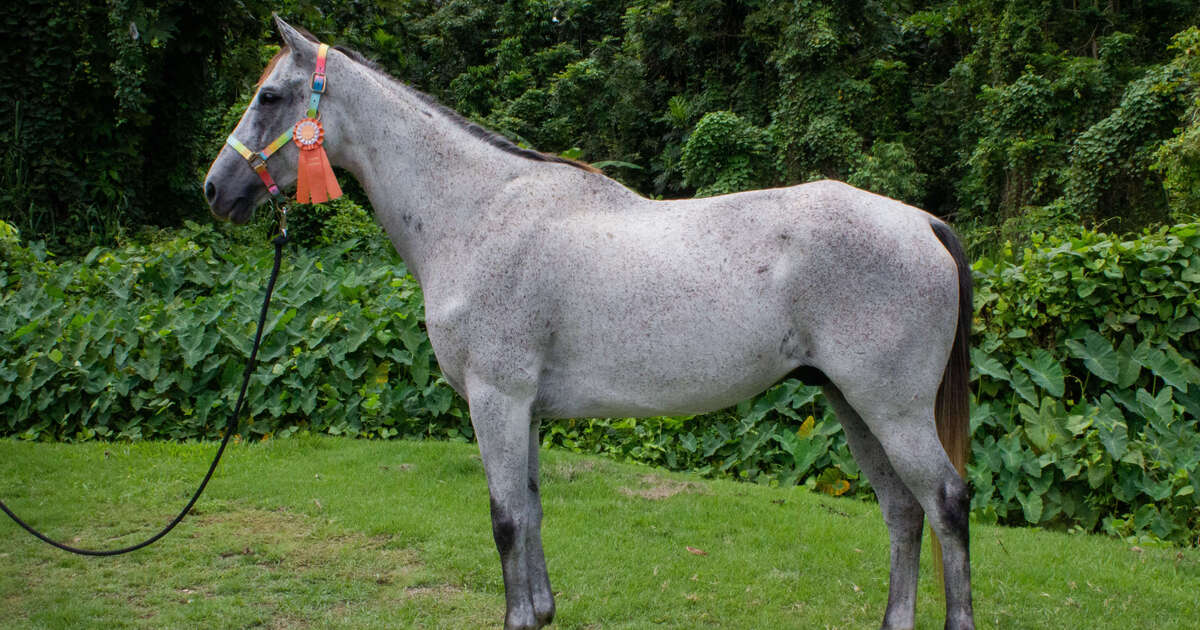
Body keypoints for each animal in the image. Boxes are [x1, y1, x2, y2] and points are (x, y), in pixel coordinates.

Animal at [204, 17, 975, 630]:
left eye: (269, 97)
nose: (215, 189)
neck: (479, 214)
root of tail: (921, 223)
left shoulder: (496, 399)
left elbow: (505, 519)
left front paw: (518, 619)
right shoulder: (524, 409)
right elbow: (532, 510)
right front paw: (542, 612)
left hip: (891, 409)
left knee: (945, 502)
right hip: (853, 404)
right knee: (903, 512)